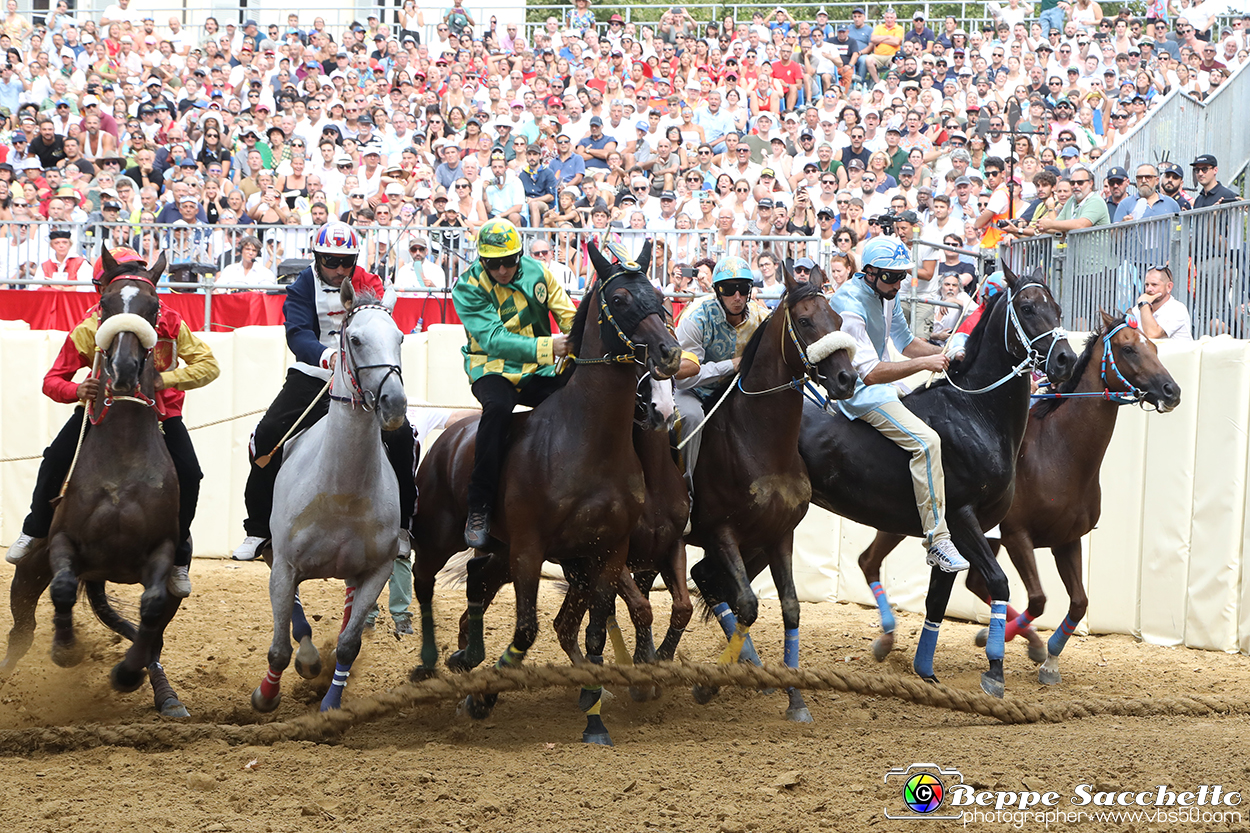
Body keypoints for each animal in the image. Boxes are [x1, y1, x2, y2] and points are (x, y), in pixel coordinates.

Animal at [251, 277, 407, 705]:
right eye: (353, 339)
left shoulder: (376, 571)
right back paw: (306, 659)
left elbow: (349, 644)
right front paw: (265, 696)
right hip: (275, 555)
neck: (342, 495)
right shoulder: (286, 566)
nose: (394, 402)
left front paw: (330, 706)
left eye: (400, 338)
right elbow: (279, 647)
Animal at [412, 240, 685, 740]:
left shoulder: (608, 551)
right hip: (440, 536)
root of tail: (447, 438)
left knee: (477, 580)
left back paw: (465, 655)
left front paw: (595, 713)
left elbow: (595, 632)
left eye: (658, 294)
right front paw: (482, 696)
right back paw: (428, 662)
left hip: (499, 550)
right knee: (424, 582)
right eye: (619, 299)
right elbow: (526, 629)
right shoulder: (530, 549)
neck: (586, 442)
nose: (668, 352)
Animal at [685, 267, 860, 720]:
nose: (846, 379)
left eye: (837, 318)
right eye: (804, 320)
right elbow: (747, 603)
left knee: (703, 578)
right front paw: (706, 686)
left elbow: (791, 608)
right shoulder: (720, 532)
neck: (759, 441)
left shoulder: (780, 534)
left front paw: (795, 699)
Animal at [800, 266, 1075, 695]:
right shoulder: (961, 518)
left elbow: (938, 601)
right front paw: (994, 668)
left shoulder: (959, 533)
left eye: (1059, 309)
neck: (975, 412)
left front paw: (925, 669)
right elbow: (998, 583)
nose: (1066, 359)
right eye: (1028, 308)